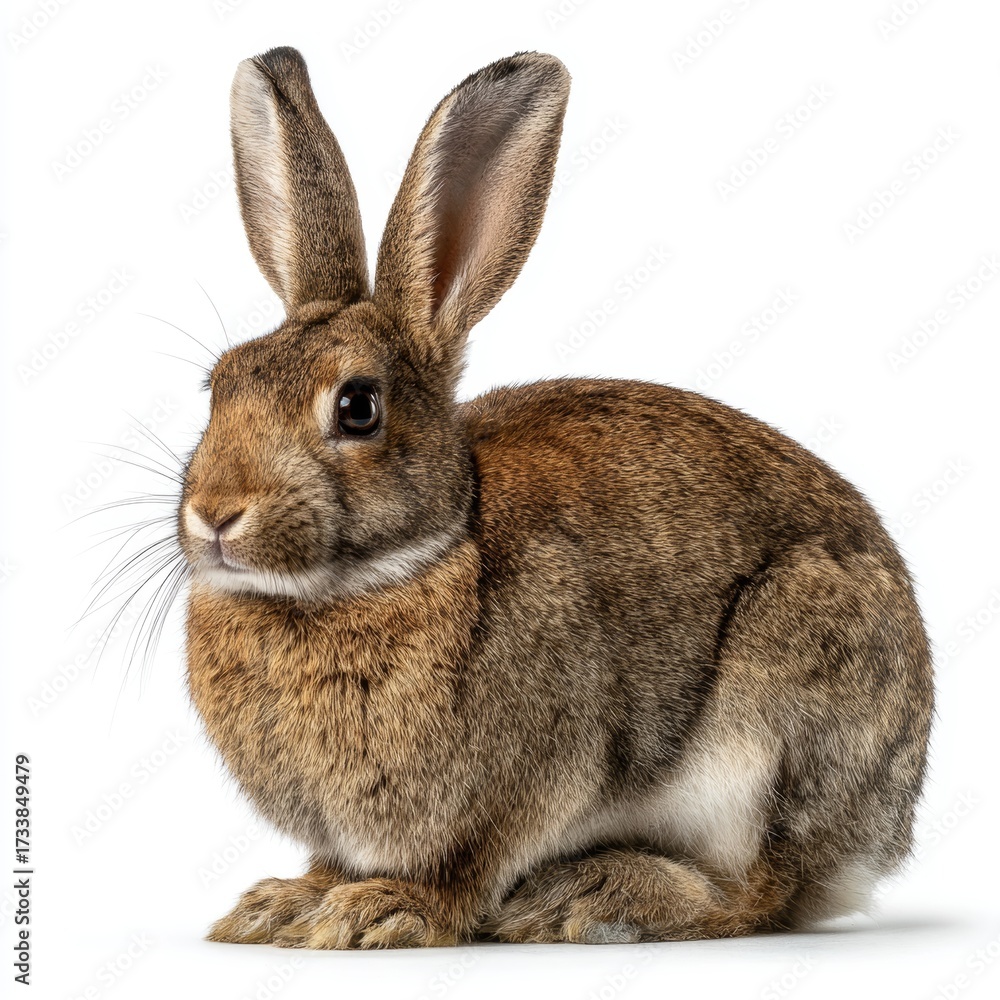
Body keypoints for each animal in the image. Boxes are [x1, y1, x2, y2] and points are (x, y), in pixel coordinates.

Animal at [179, 46, 933, 949]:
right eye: (217, 386)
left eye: (357, 407)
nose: (216, 513)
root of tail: (882, 831)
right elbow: (332, 861)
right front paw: (285, 905)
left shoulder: (538, 770)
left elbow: (467, 866)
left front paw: (383, 911)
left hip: (777, 722)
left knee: (757, 895)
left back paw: (591, 896)